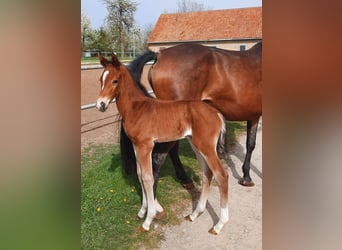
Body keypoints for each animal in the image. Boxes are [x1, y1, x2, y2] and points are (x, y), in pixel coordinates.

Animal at [96, 52, 230, 234]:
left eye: (115, 80)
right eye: (100, 79)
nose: (100, 105)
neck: (136, 108)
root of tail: (216, 113)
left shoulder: (146, 146)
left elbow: (148, 177)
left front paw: (148, 220)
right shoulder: (137, 145)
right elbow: (140, 175)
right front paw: (142, 211)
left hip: (207, 146)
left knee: (221, 175)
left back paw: (219, 225)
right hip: (196, 144)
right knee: (207, 173)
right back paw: (194, 214)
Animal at [121, 43, 264, 187]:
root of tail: (160, 55)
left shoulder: (253, 116)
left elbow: (250, 144)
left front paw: (246, 177)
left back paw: (184, 178)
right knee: (158, 158)